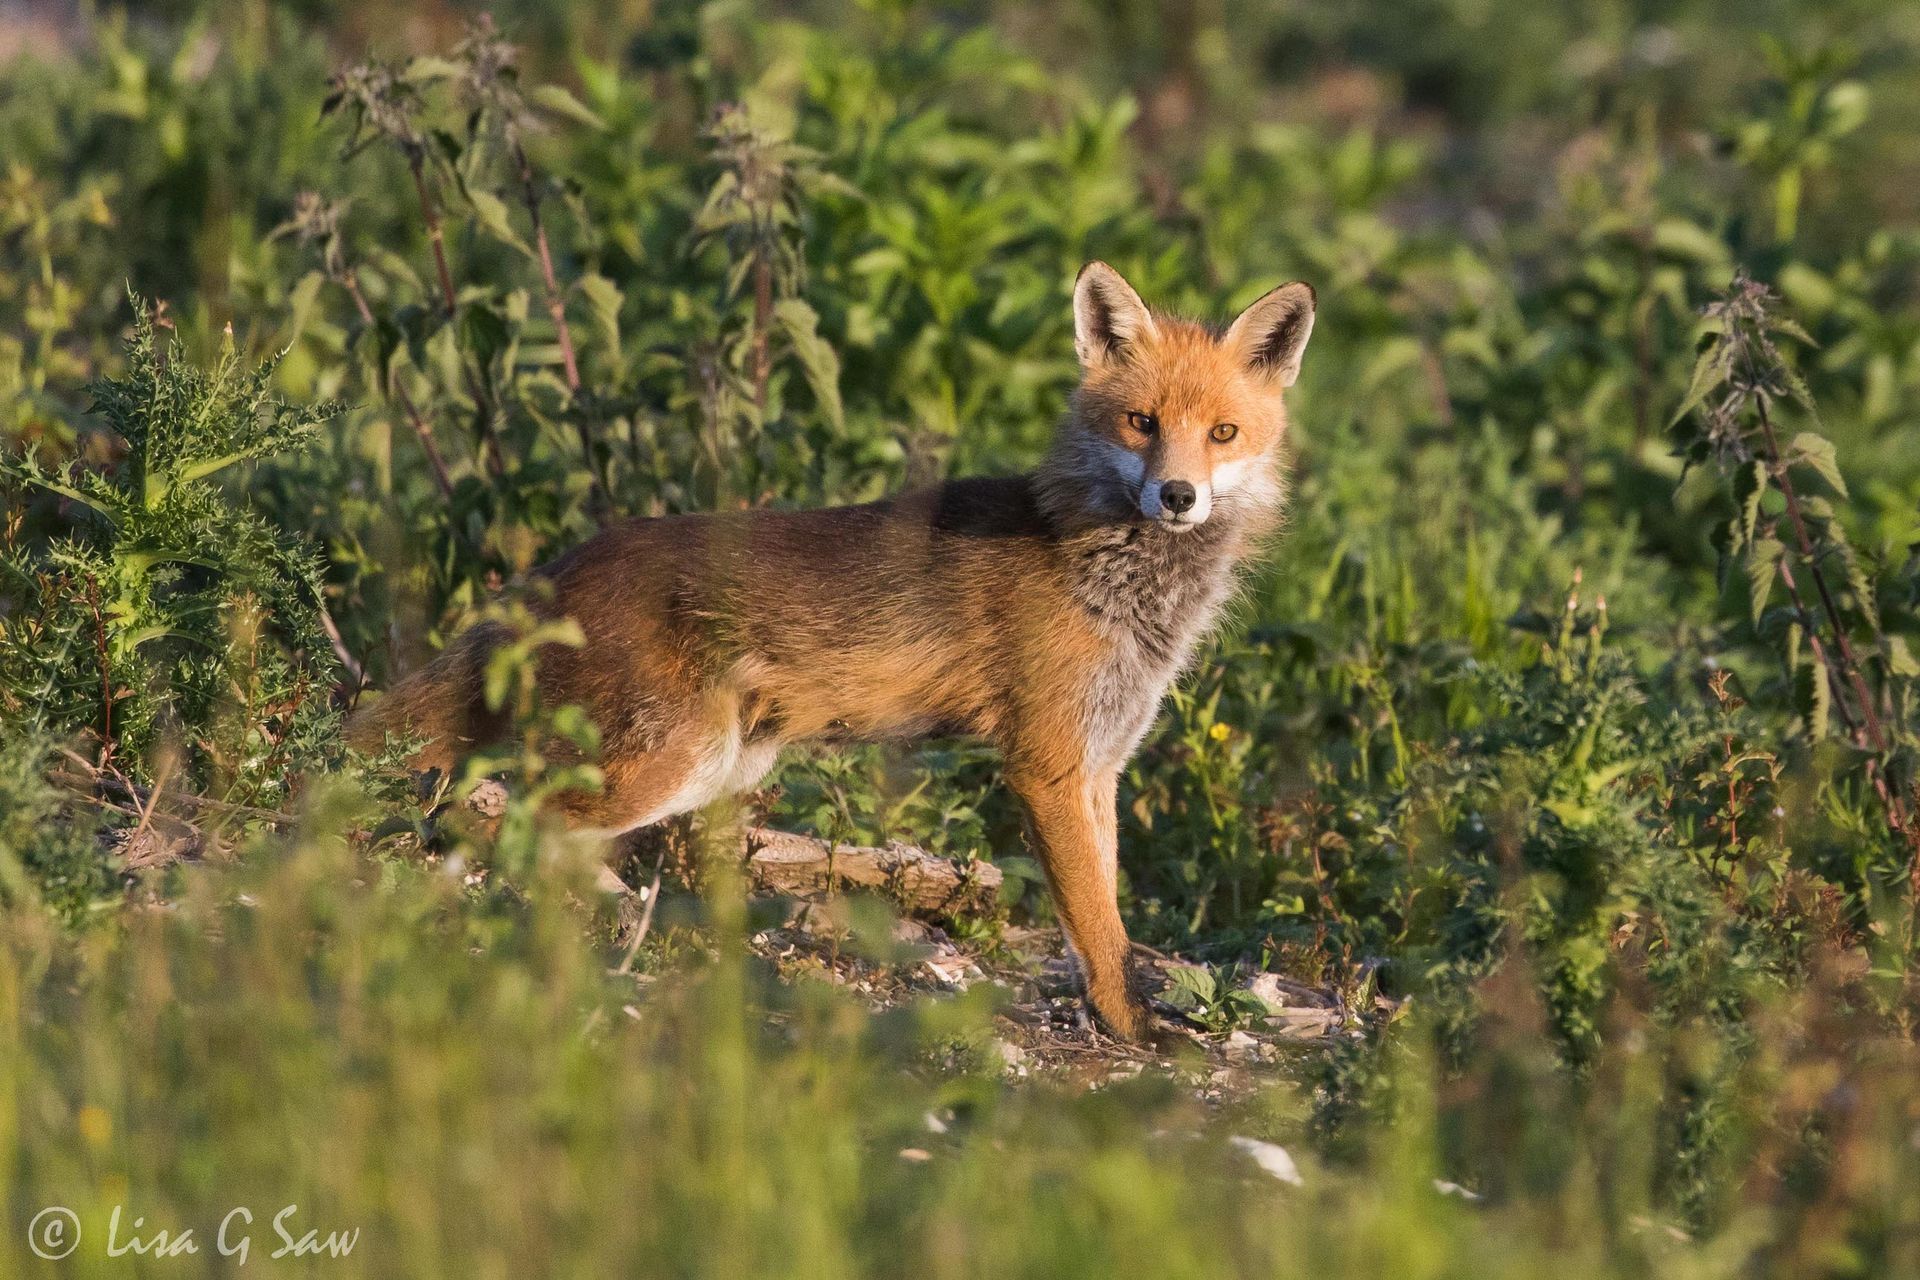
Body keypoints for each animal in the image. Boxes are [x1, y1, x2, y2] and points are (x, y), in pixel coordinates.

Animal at [353, 262, 1313, 1043]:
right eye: (1142, 422)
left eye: (1222, 433)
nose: (1178, 495)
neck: (1106, 571)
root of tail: (560, 565)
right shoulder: (1045, 763)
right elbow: (1100, 932)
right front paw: (1135, 1032)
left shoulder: (1101, 761)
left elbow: (1104, 915)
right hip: (674, 759)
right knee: (513, 824)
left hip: (720, 764)